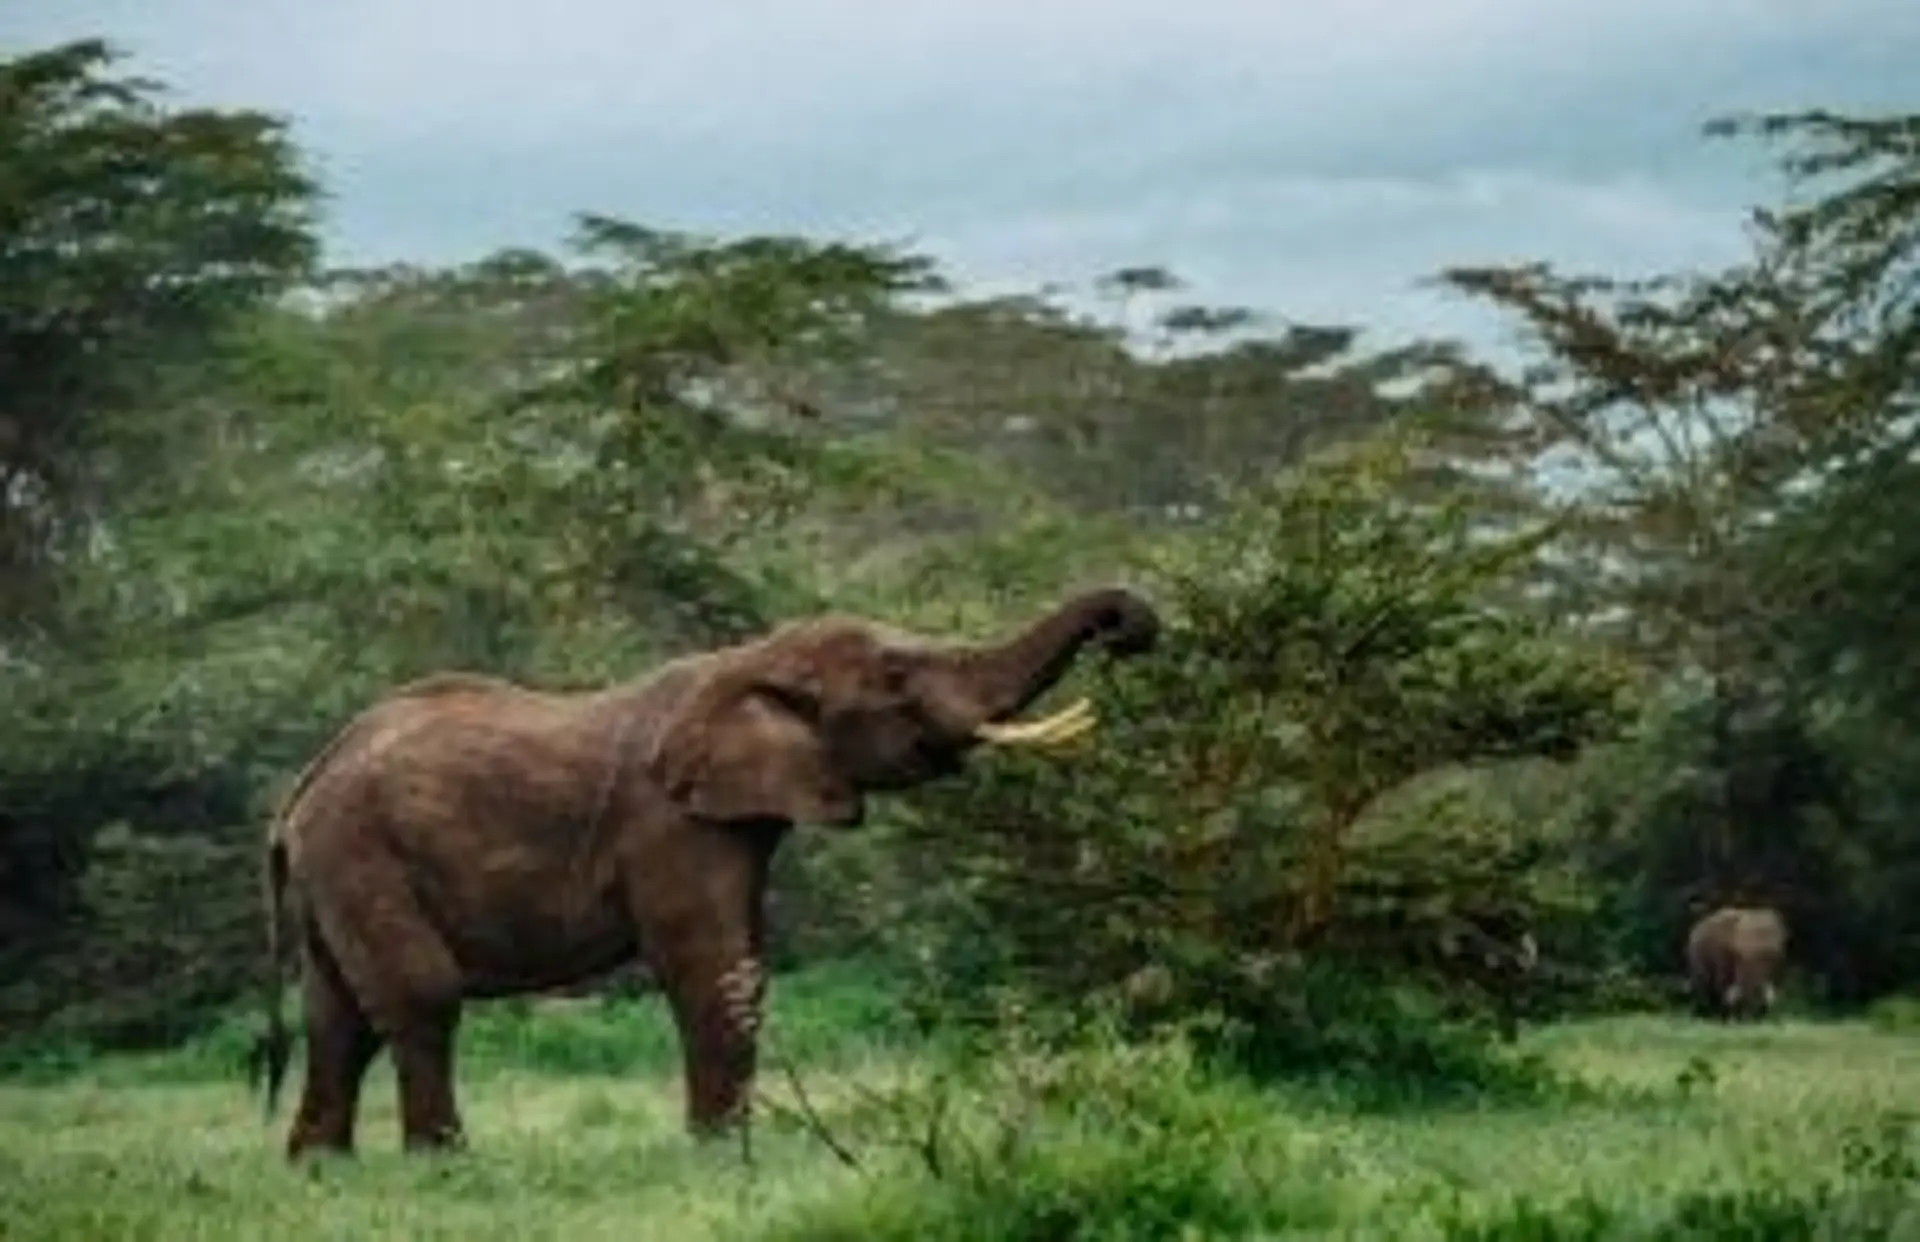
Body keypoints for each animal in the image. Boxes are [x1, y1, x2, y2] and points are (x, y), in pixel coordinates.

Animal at [247, 585, 1161, 1159]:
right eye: (898, 677)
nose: (1131, 631)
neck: (749, 660)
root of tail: (299, 792)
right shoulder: (667, 823)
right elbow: (712, 964)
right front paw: (722, 1154)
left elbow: (738, 961)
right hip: (362, 852)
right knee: (419, 996)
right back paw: (443, 1163)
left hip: (337, 872)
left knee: (338, 1018)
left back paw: (320, 1168)